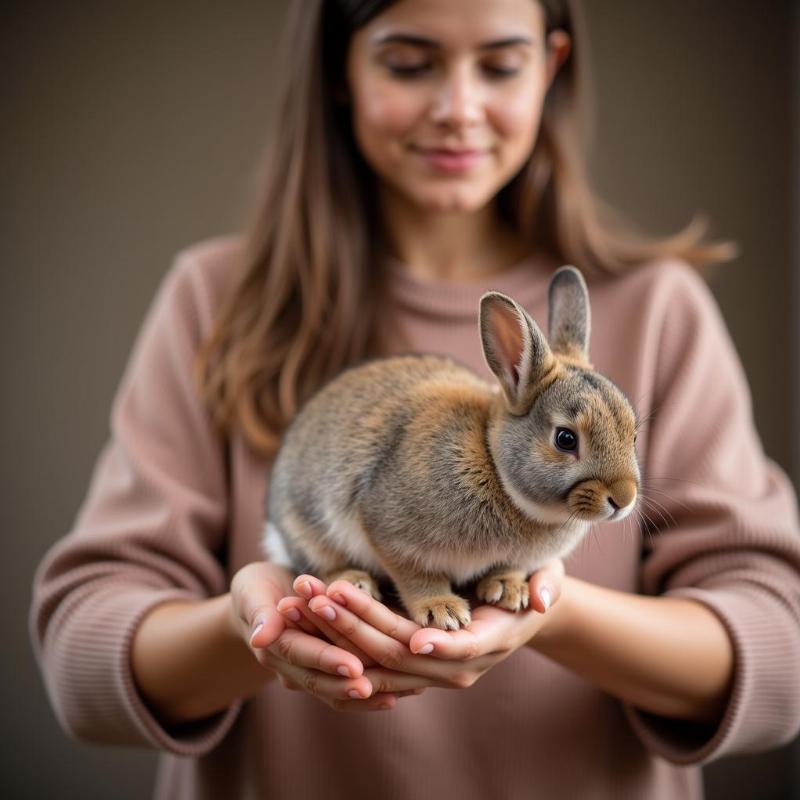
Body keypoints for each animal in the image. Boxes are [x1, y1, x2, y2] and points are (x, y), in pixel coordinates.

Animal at [266, 268, 640, 632]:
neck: (493, 460)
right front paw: (441, 610)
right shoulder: (389, 528)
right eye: (565, 439)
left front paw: (508, 589)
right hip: (309, 528)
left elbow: (509, 568)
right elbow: (415, 573)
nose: (624, 498)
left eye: (633, 434)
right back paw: (354, 580)